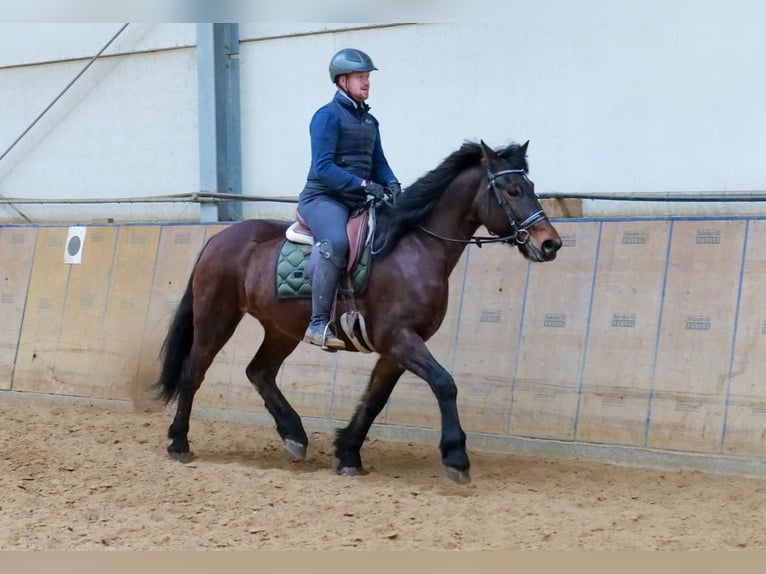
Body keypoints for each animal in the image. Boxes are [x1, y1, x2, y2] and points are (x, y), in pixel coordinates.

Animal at [154, 141, 564, 486]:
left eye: (530, 186)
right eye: (511, 190)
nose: (550, 244)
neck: (415, 248)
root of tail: (218, 238)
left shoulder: (396, 347)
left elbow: (375, 398)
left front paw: (348, 453)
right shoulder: (400, 340)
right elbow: (445, 384)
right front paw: (456, 458)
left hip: (282, 329)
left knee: (259, 372)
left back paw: (295, 435)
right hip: (216, 317)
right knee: (194, 371)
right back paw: (179, 443)